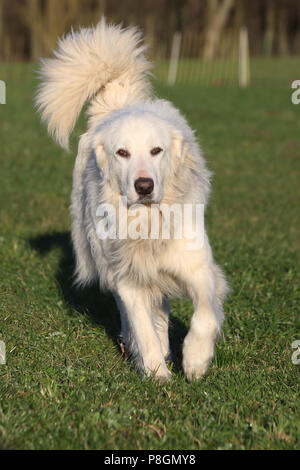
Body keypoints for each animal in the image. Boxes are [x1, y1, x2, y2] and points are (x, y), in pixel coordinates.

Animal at [35, 17, 227, 382]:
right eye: (122, 153)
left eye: (156, 150)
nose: (144, 185)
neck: (148, 221)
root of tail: (119, 102)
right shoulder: (127, 278)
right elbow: (141, 325)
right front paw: (156, 375)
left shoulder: (198, 268)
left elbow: (204, 316)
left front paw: (195, 360)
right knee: (137, 315)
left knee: (162, 306)